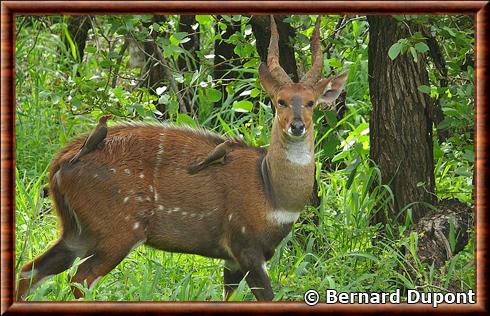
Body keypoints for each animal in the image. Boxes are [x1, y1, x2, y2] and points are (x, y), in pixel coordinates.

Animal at [18, 16, 348, 302]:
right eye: (280, 101)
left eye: (310, 102)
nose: (297, 126)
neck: (271, 192)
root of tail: (60, 161)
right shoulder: (247, 248)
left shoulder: (232, 261)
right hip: (118, 233)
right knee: (79, 279)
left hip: (76, 232)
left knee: (30, 270)